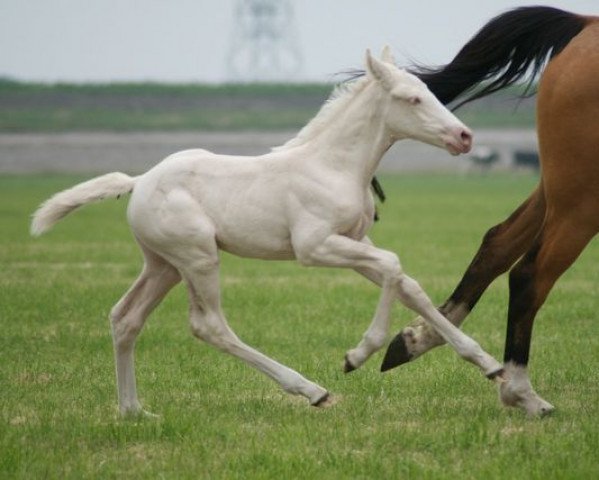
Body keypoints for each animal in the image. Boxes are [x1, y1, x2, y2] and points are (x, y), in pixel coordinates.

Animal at [30, 48, 504, 416]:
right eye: (412, 98)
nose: (464, 137)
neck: (333, 166)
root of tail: (140, 180)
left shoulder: (355, 242)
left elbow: (410, 286)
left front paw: (490, 365)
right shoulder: (315, 247)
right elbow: (393, 266)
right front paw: (358, 355)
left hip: (163, 265)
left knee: (125, 318)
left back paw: (133, 411)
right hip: (198, 257)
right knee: (209, 326)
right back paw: (312, 390)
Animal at [380, 4, 599, 416]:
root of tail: (585, 23)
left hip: (561, 185)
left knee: (497, 242)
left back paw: (419, 337)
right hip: (582, 194)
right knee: (529, 273)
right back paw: (520, 390)